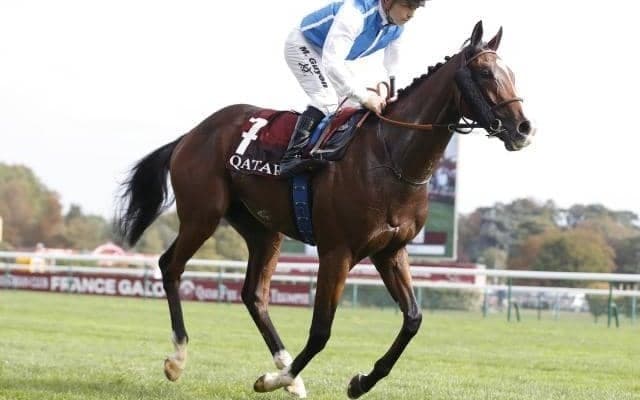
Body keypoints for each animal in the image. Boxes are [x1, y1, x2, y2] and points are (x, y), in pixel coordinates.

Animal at [116, 21, 534, 399]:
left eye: (512, 74)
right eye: (484, 73)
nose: (523, 128)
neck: (390, 157)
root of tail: (192, 134)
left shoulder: (391, 251)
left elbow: (413, 319)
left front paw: (360, 382)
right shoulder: (337, 252)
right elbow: (321, 332)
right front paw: (273, 381)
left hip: (264, 230)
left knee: (254, 294)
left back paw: (287, 370)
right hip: (202, 214)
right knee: (171, 266)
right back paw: (179, 358)